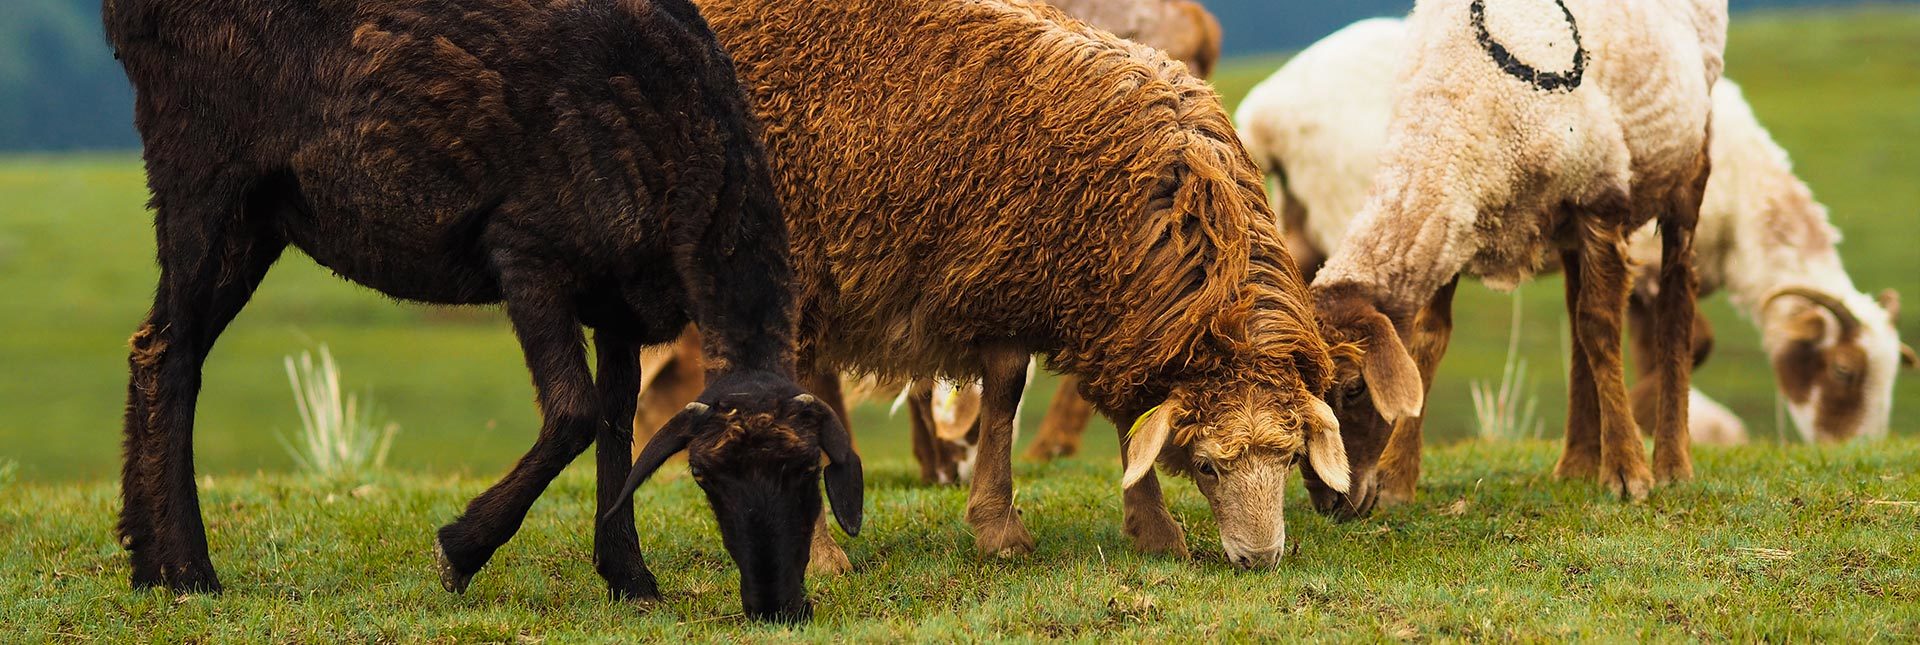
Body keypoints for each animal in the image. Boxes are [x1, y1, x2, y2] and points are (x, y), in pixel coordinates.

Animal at [105, 0, 856, 621]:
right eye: (703, 475)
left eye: (809, 471)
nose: (777, 607)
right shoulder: (526, 251)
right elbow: (575, 413)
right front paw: (459, 550)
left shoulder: (618, 303)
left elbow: (617, 426)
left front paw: (629, 576)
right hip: (202, 172)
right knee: (170, 351)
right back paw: (189, 571)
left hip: (259, 215)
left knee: (157, 349)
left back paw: (148, 561)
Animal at [637, 0, 1359, 568]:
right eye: (1208, 465)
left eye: (1290, 457)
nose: (1260, 558)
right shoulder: (1013, 281)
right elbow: (1008, 394)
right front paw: (1007, 528)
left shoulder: (1079, 300)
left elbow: (1080, 407)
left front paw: (1146, 528)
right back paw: (813, 555)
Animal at [1236, 16, 1912, 464]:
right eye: (1846, 372)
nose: (1852, 452)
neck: (1750, 211)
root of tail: (1264, 112)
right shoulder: (1643, 259)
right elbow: (1688, 343)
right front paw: (1645, 428)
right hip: (1345, 208)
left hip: (1299, 219)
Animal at [1274, 0, 1728, 514]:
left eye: (1353, 388)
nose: (1329, 504)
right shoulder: (1454, 217)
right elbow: (1430, 339)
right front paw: (1397, 479)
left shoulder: (1600, 195)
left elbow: (1601, 330)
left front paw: (1628, 472)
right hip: (1565, 220)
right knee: (1576, 318)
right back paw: (1576, 461)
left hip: (1687, 164)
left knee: (1674, 298)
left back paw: (1672, 464)